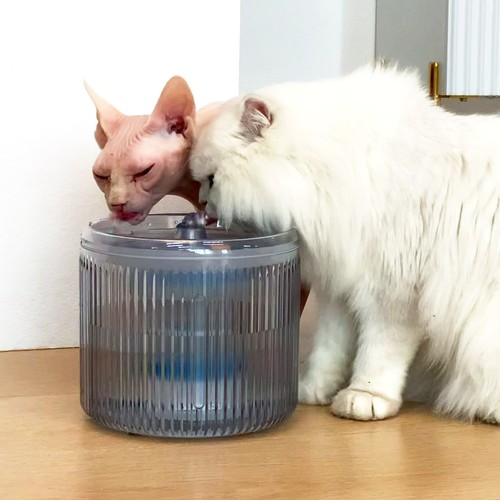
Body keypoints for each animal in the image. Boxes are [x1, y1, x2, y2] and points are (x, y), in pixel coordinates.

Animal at [188, 63, 500, 426]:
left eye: (212, 180)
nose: (203, 203)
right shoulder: (338, 290)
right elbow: (329, 351)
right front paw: (311, 390)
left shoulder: (392, 291)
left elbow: (377, 355)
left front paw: (364, 398)